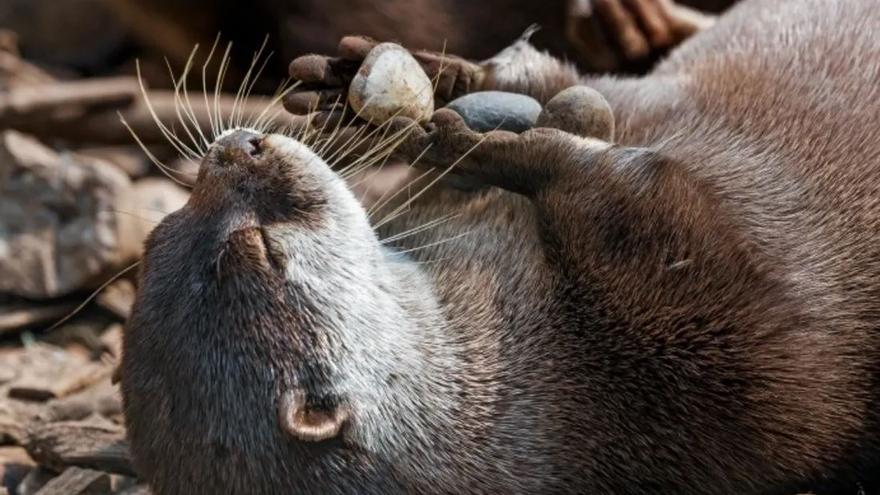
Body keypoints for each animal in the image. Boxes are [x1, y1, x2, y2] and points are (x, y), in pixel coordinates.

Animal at [122, 0, 880, 494]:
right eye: (260, 245)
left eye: (161, 232)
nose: (236, 147)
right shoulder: (733, 360)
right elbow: (645, 197)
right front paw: (498, 148)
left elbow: (555, 83)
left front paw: (424, 88)